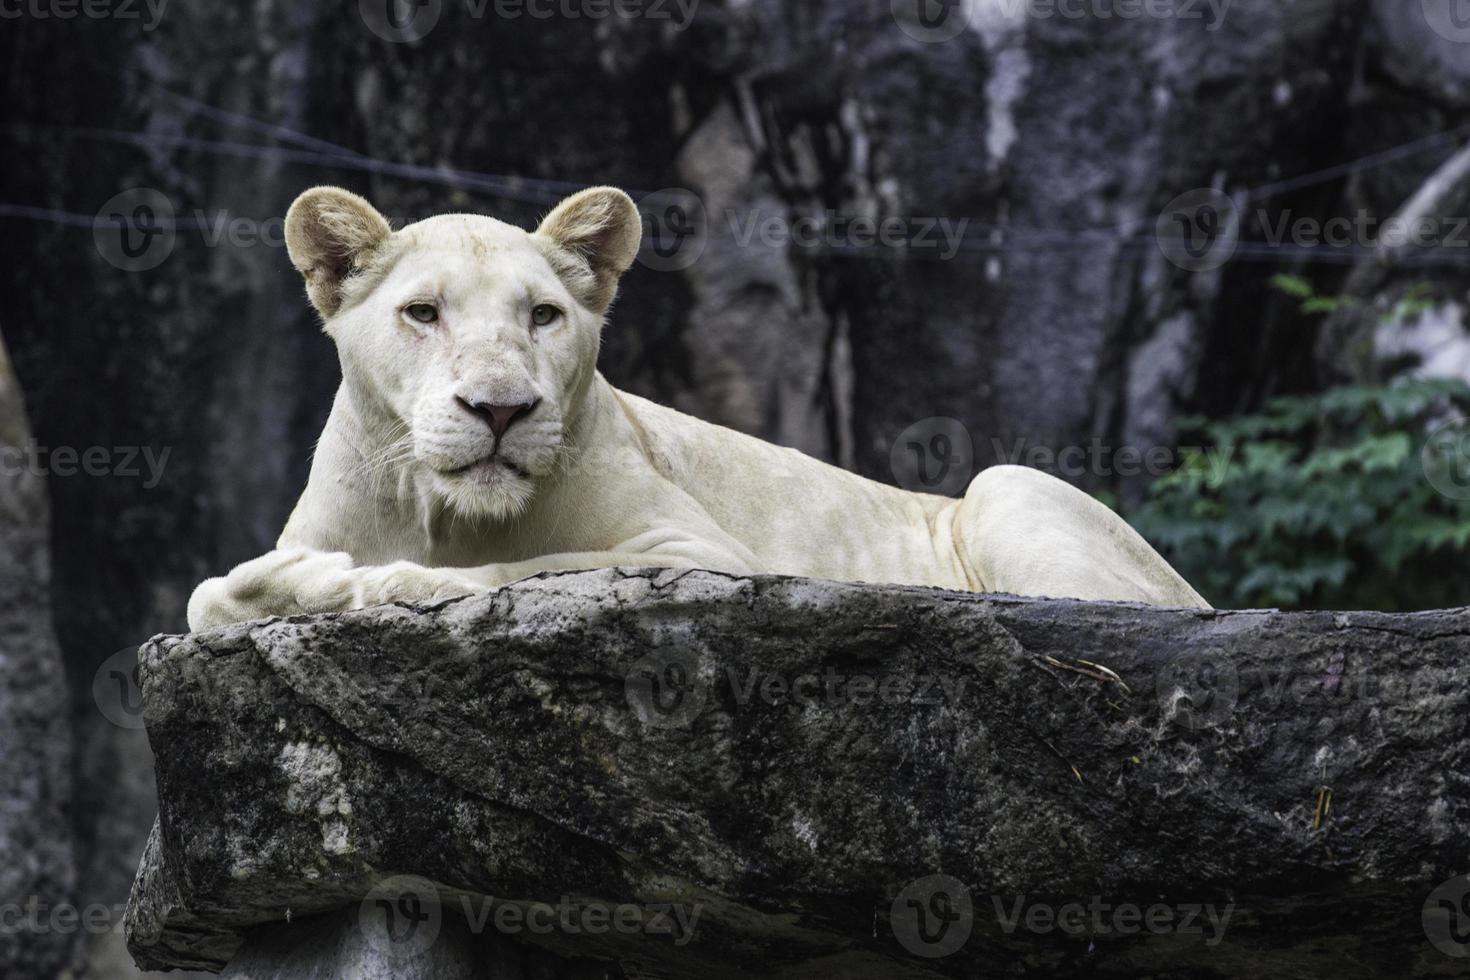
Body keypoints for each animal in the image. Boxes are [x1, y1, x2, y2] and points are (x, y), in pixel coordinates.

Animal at [186, 188, 1205, 631]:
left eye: (543, 316)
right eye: (422, 314)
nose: (501, 409)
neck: (436, 510)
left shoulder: (703, 554)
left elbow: (537, 567)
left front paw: (389, 583)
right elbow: (208, 596)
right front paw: (305, 582)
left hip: (1006, 487)